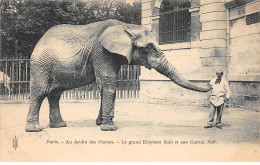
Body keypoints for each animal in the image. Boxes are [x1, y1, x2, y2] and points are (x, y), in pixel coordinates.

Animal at [24, 19, 211, 132]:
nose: (210, 83)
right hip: (41, 65)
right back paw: (35, 129)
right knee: (40, 93)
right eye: (148, 47)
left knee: (55, 95)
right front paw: (110, 129)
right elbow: (108, 84)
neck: (126, 26)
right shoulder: (101, 51)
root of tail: (40, 40)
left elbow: (105, 85)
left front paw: (101, 123)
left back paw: (60, 126)